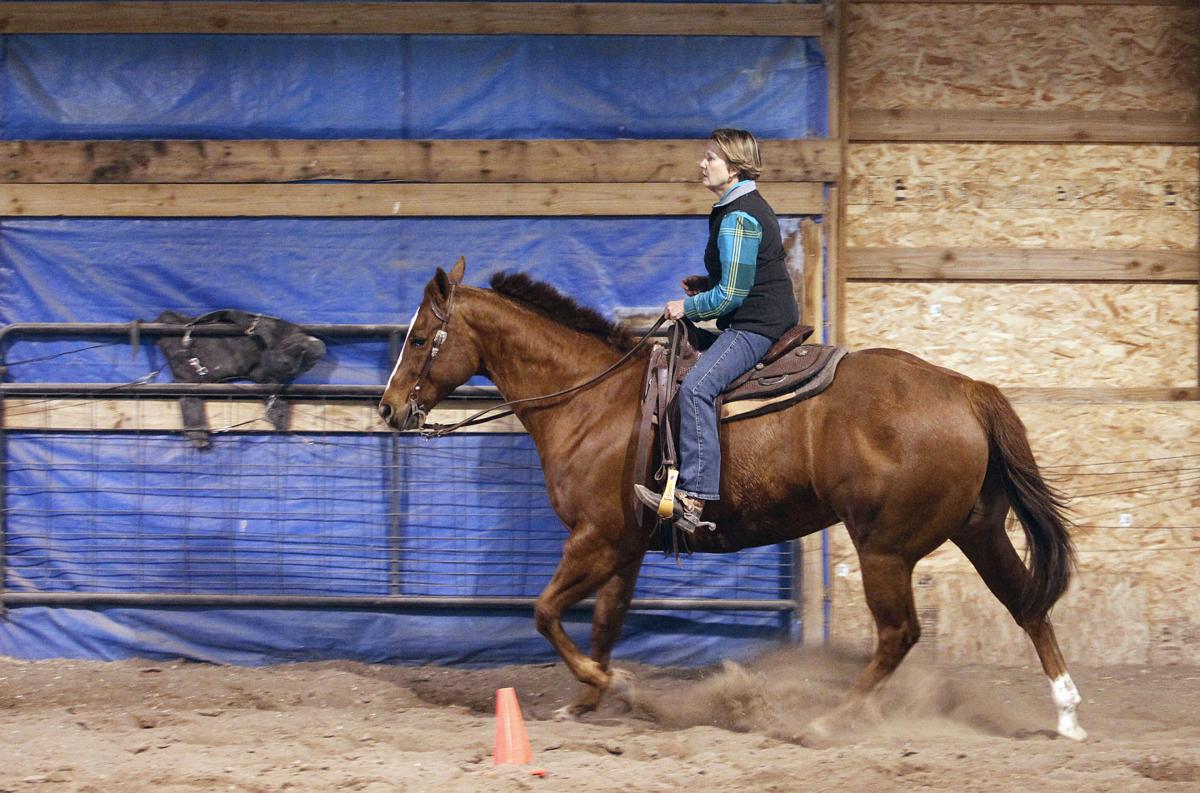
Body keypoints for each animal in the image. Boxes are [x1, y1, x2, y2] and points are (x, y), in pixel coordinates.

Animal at [377, 257, 1087, 742]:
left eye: (419, 338)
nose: (387, 409)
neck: (593, 402)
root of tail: (965, 388)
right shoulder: (625, 546)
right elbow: (604, 622)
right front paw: (586, 702)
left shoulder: (595, 537)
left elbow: (546, 613)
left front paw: (611, 684)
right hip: (978, 529)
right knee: (1027, 604)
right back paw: (1068, 716)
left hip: (885, 548)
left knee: (899, 634)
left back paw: (828, 721)